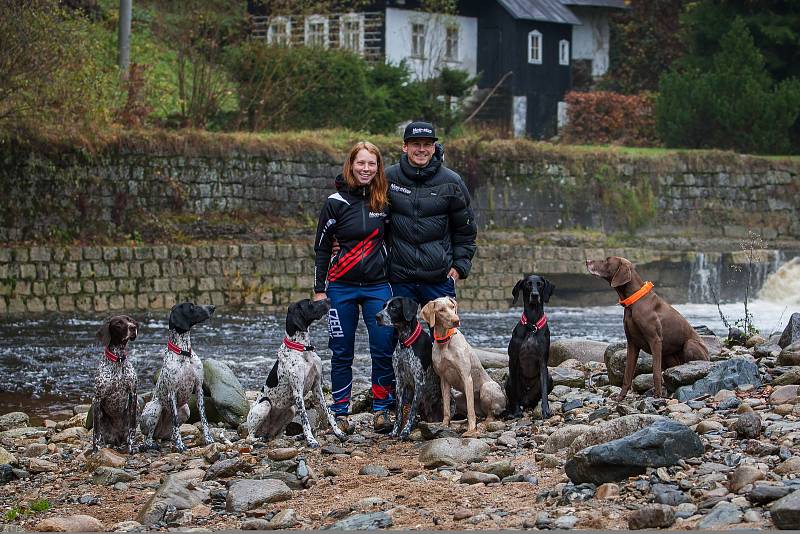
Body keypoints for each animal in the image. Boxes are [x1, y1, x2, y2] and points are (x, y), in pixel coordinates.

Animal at [247, 300, 346, 450]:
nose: (328, 299)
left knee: (277, 437)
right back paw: (259, 440)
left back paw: (294, 437)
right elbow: (305, 419)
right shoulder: (298, 392)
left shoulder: (317, 388)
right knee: (249, 437)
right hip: (265, 404)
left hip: (291, 411)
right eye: (310, 303)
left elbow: (329, 413)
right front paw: (311, 440)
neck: (302, 349)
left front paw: (338, 432)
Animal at [376, 296, 444, 438]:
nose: (377, 316)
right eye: (384, 306)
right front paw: (395, 431)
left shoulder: (419, 382)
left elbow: (412, 410)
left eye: (393, 307)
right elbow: (399, 411)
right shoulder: (399, 383)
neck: (405, 342)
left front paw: (406, 431)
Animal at [510, 276, 552, 422]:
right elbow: (514, 392)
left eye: (540, 284)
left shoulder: (543, 361)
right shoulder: (513, 360)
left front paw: (545, 410)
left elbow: (544, 391)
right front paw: (516, 411)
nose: (535, 295)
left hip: (550, 378)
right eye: (528, 284)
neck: (532, 324)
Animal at [584, 258, 708, 400]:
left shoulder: (655, 340)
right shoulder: (632, 343)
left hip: (689, 345)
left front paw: (657, 395)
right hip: (667, 356)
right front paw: (620, 397)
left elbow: (656, 372)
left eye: (607, 260)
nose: (587, 261)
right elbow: (627, 374)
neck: (634, 301)